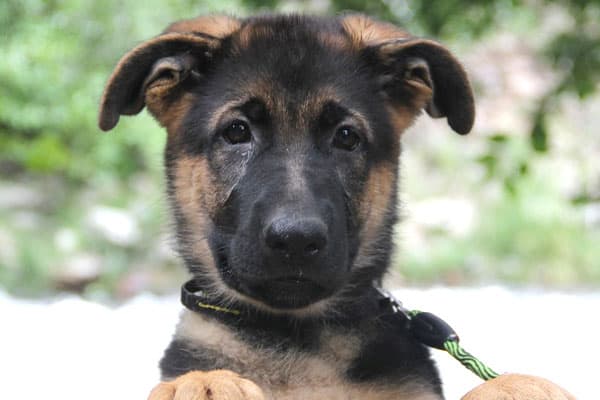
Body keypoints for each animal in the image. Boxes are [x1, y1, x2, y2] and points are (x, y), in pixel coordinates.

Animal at [98, 12, 572, 400]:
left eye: (346, 137)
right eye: (236, 132)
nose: (295, 240)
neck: (294, 337)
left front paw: (518, 387)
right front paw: (204, 384)